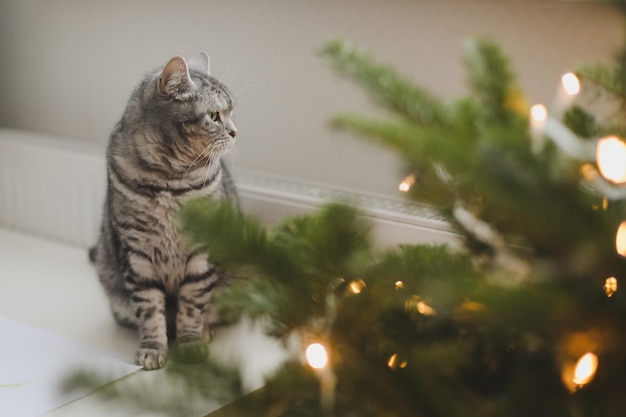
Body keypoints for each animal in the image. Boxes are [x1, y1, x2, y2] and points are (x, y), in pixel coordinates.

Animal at [91, 51, 239, 368]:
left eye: (232, 112)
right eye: (214, 116)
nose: (235, 132)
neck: (170, 182)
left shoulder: (202, 253)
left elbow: (193, 305)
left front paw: (191, 342)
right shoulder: (138, 257)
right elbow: (149, 311)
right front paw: (152, 348)